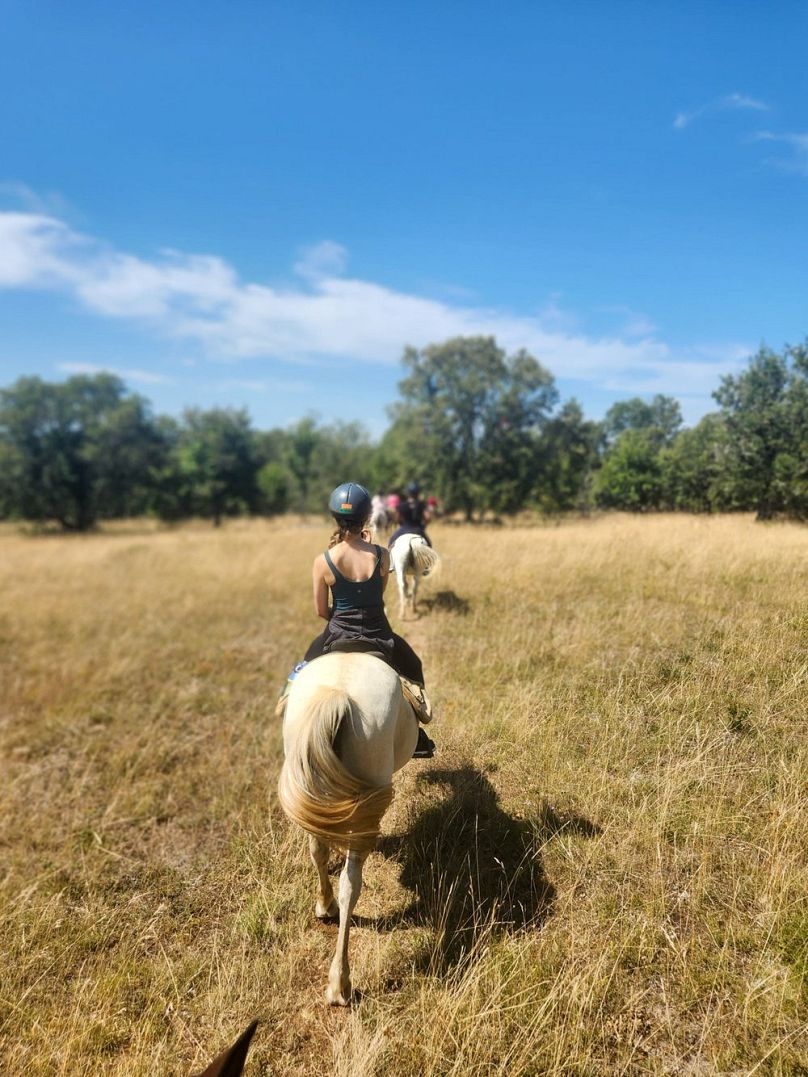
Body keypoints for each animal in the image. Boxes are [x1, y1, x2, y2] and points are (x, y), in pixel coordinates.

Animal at [277, 646, 418, 1008]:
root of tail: (337, 694)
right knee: (351, 882)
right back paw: (340, 983)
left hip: (313, 783)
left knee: (318, 849)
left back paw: (325, 907)